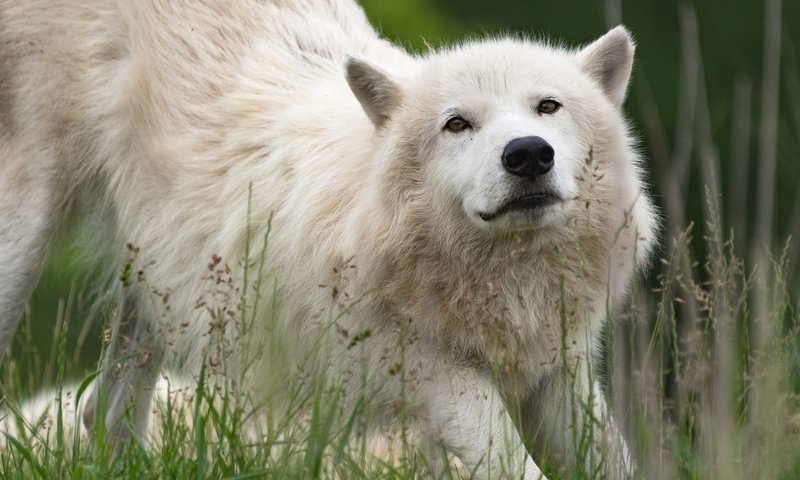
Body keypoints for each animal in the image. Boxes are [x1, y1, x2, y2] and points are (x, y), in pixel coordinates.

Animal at [1, 0, 656, 476]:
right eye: (456, 124)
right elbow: (514, 462)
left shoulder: (558, 371)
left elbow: (614, 459)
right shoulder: (436, 376)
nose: (527, 154)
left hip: (158, 284)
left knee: (101, 414)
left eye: (548, 107)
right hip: (26, 240)